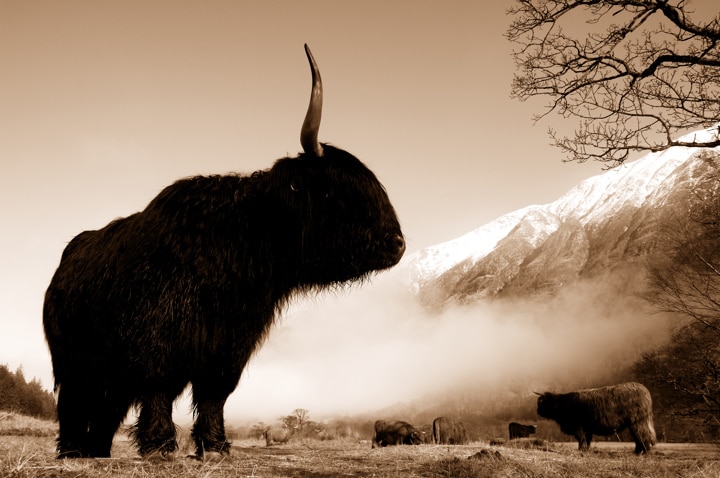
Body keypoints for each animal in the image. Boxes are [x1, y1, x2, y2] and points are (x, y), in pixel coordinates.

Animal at [43, 44, 404, 460]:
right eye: (337, 191)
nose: (398, 244)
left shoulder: (230, 344)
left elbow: (215, 393)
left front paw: (214, 445)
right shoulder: (156, 339)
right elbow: (159, 386)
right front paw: (160, 444)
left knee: (107, 410)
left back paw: (98, 451)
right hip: (71, 361)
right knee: (73, 403)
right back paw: (71, 451)